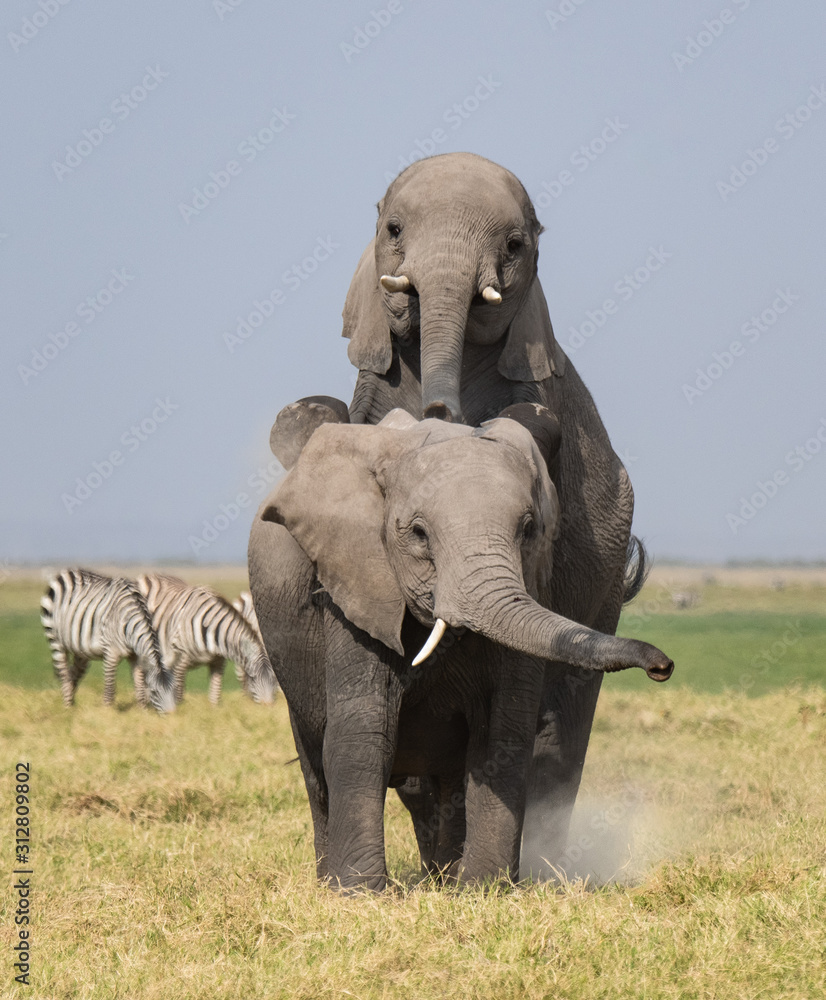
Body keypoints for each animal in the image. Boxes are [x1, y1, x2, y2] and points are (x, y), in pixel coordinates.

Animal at [248, 396, 673, 891]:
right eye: (417, 533)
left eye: (529, 528)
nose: (662, 666)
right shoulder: (353, 581)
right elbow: (363, 728)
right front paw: (361, 893)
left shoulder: (536, 583)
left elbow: (502, 735)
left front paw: (485, 888)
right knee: (316, 765)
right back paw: (332, 881)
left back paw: (447, 880)